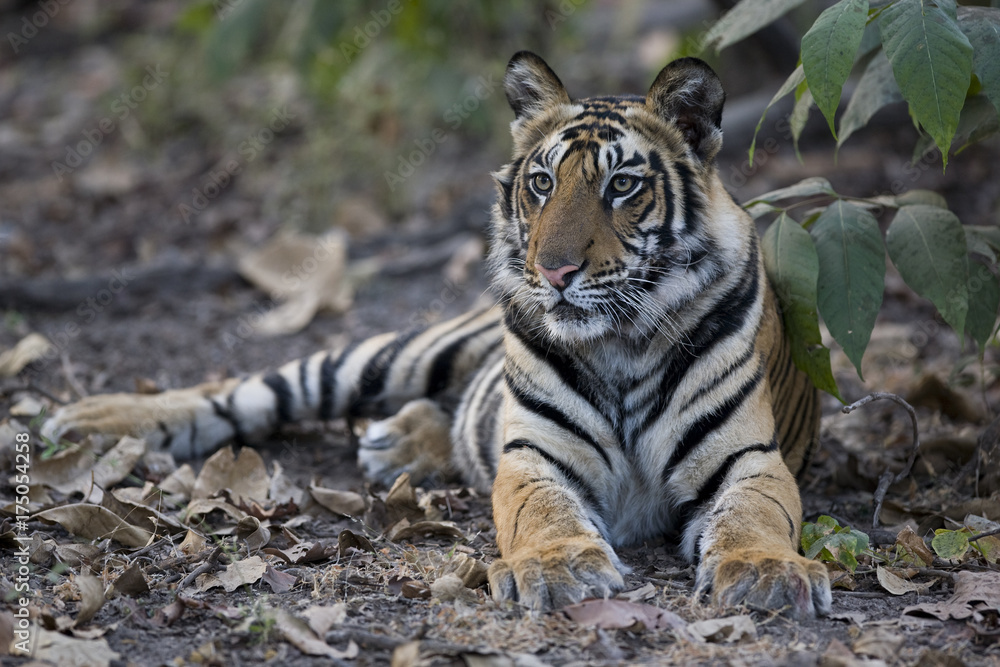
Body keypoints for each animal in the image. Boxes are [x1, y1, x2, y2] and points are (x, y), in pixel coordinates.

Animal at [43, 51, 832, 618]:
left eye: (621, 186)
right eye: (542, 184)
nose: (554, 271)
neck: (622, 342)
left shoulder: (747, 460)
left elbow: (756, 518)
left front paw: (766, 573)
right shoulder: (535, 456)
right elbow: (540, 512)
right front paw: (558, 566)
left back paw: (398, 444)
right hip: (388, 356)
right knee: (240, 391)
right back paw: (89, 420)